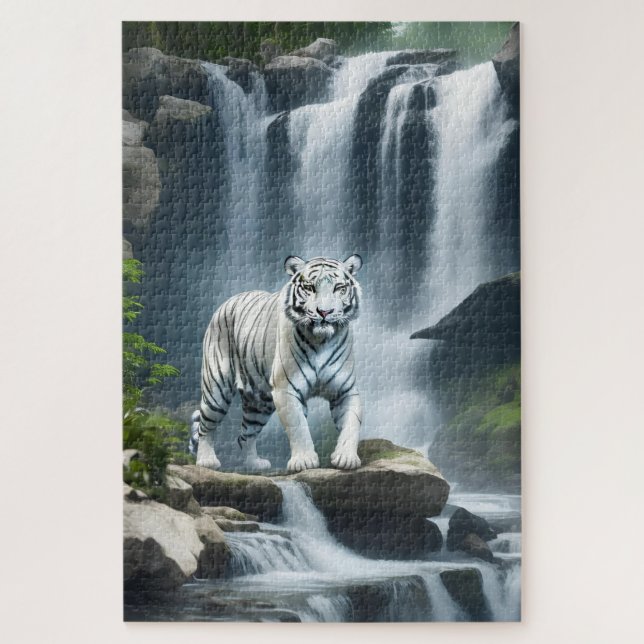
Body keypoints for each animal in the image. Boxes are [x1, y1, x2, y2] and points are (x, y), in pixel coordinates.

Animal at [190, 254, 364, 473]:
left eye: (339, 287)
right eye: (310, 287)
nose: (324, 312)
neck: (321, 341)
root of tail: (229, 300)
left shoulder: (345, 391)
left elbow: (351, 424)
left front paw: (346, 458)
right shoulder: (285, 389)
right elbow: (298, 426)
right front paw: (304, 460)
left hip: (260, 403)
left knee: (245, 435)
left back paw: (255, 464)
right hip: (217, 389)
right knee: (205, 426)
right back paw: (207, 461)